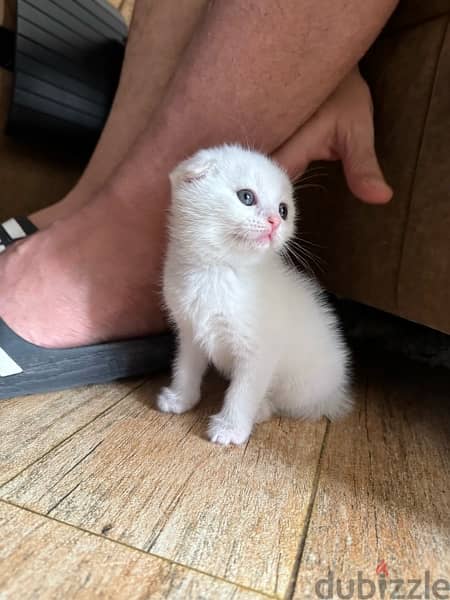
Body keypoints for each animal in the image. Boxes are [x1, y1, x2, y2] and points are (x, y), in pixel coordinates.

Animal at [158, 145, 352, 446]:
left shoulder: (259, 350)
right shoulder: (190, 332)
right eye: (246, 197)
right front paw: (180, 398)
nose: (274, 221)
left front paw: (230, 428)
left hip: (299, 383)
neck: (219, 270)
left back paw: (261, 409)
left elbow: (243, 392)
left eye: (284, 210)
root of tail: (336, 394)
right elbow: (185, 366)